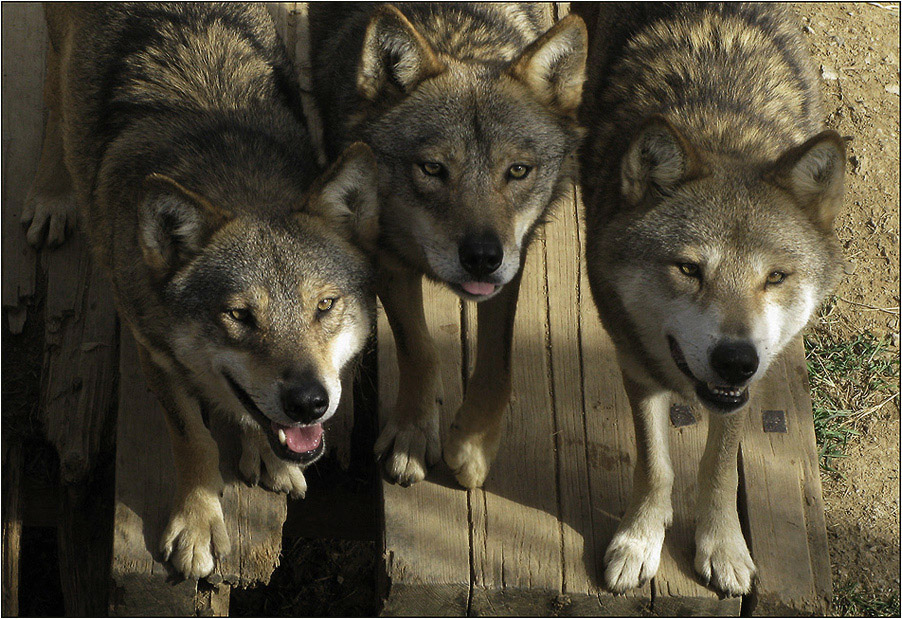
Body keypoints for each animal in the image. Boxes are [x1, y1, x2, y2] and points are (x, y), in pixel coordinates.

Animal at [22, 2, 378, 580]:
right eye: (239, 316)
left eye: (324, 305)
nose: (309, 402)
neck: (235, 177)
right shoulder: (154, 352)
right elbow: (195, 441)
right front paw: (197, 528)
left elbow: (251, 416)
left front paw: (267, 455)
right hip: (60, 54)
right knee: (56, 104)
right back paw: (52, 195)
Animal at [312, 3, 592, 490]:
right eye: (432, 168)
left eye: (518, 171)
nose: (481, 257)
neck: (455, 36)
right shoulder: (386, 256)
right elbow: (418, 350)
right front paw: (411, 435)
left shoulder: (513, 260)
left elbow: (497, 362)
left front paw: (473, 447)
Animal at [580, 2, 848, 600]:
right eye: (688, 269)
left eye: (775, 277)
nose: (735, 359)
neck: (717, 127)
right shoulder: (636, 363)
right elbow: (656, 464)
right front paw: (638, 542)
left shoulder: (750, 383)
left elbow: (720, 466)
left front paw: (723, 547)